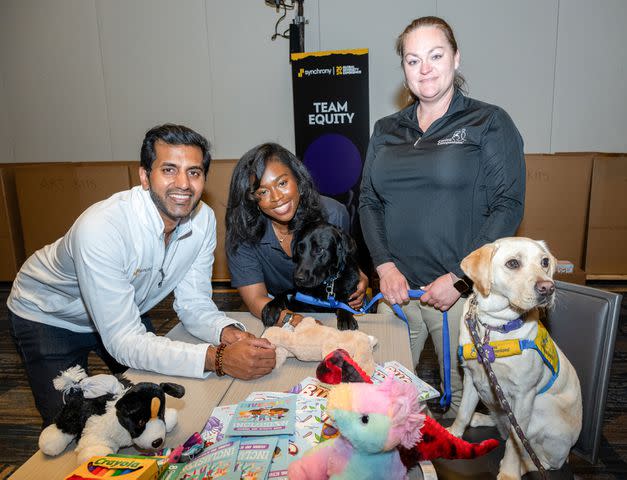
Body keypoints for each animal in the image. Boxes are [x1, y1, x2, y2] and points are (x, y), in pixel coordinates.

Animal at [448, 237, 580, 480]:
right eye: (512, 263)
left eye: (545, 262)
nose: (548, 287)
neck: (494, 326)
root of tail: (568, 453)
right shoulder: (472, 377)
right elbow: (462, 411)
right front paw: (453, 435)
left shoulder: (524, 395)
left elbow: (516, 441)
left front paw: (509, 472)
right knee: (502, 426)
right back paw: (480, 418)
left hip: (542, 407)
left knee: (543, 461)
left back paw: (523, 465)